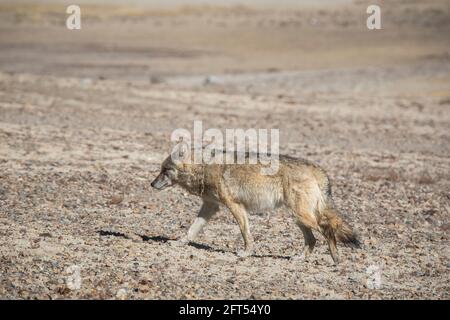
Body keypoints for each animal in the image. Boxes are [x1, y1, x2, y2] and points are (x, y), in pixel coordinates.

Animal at [150, 149, 358, 262]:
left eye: (165, 170)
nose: (151, 184)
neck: (203, 168)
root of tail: (319, 169)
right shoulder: (211, 207)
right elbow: (191, 230)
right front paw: (180, 242)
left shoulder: (236, 206)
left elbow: (245, 233)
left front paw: (246, 253)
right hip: (299, 219)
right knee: (313, 239)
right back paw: (300, 258)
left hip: (301, 217)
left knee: (328, 228)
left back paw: (335, 258)